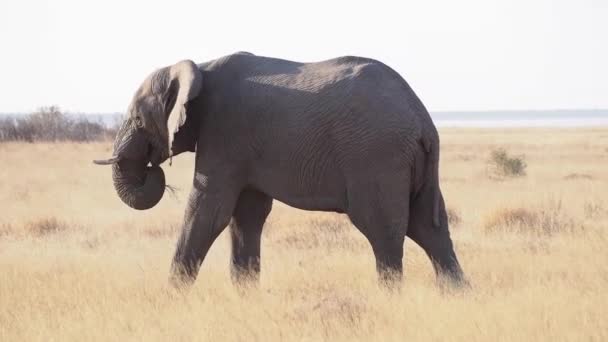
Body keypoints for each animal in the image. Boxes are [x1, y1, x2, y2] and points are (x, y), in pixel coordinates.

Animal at [94, 52, 466, 288]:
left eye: (138, 119)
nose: (152, 169)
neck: (199, 68)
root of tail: (423, 121)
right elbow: (246, 217)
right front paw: (245, 297)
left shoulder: (225, 133)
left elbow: (209, 212)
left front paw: (173, 296)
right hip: (409, 163)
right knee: (429, 229)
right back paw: (457, 295)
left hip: (378, 158)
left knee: (383, 231)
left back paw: (390, 298)